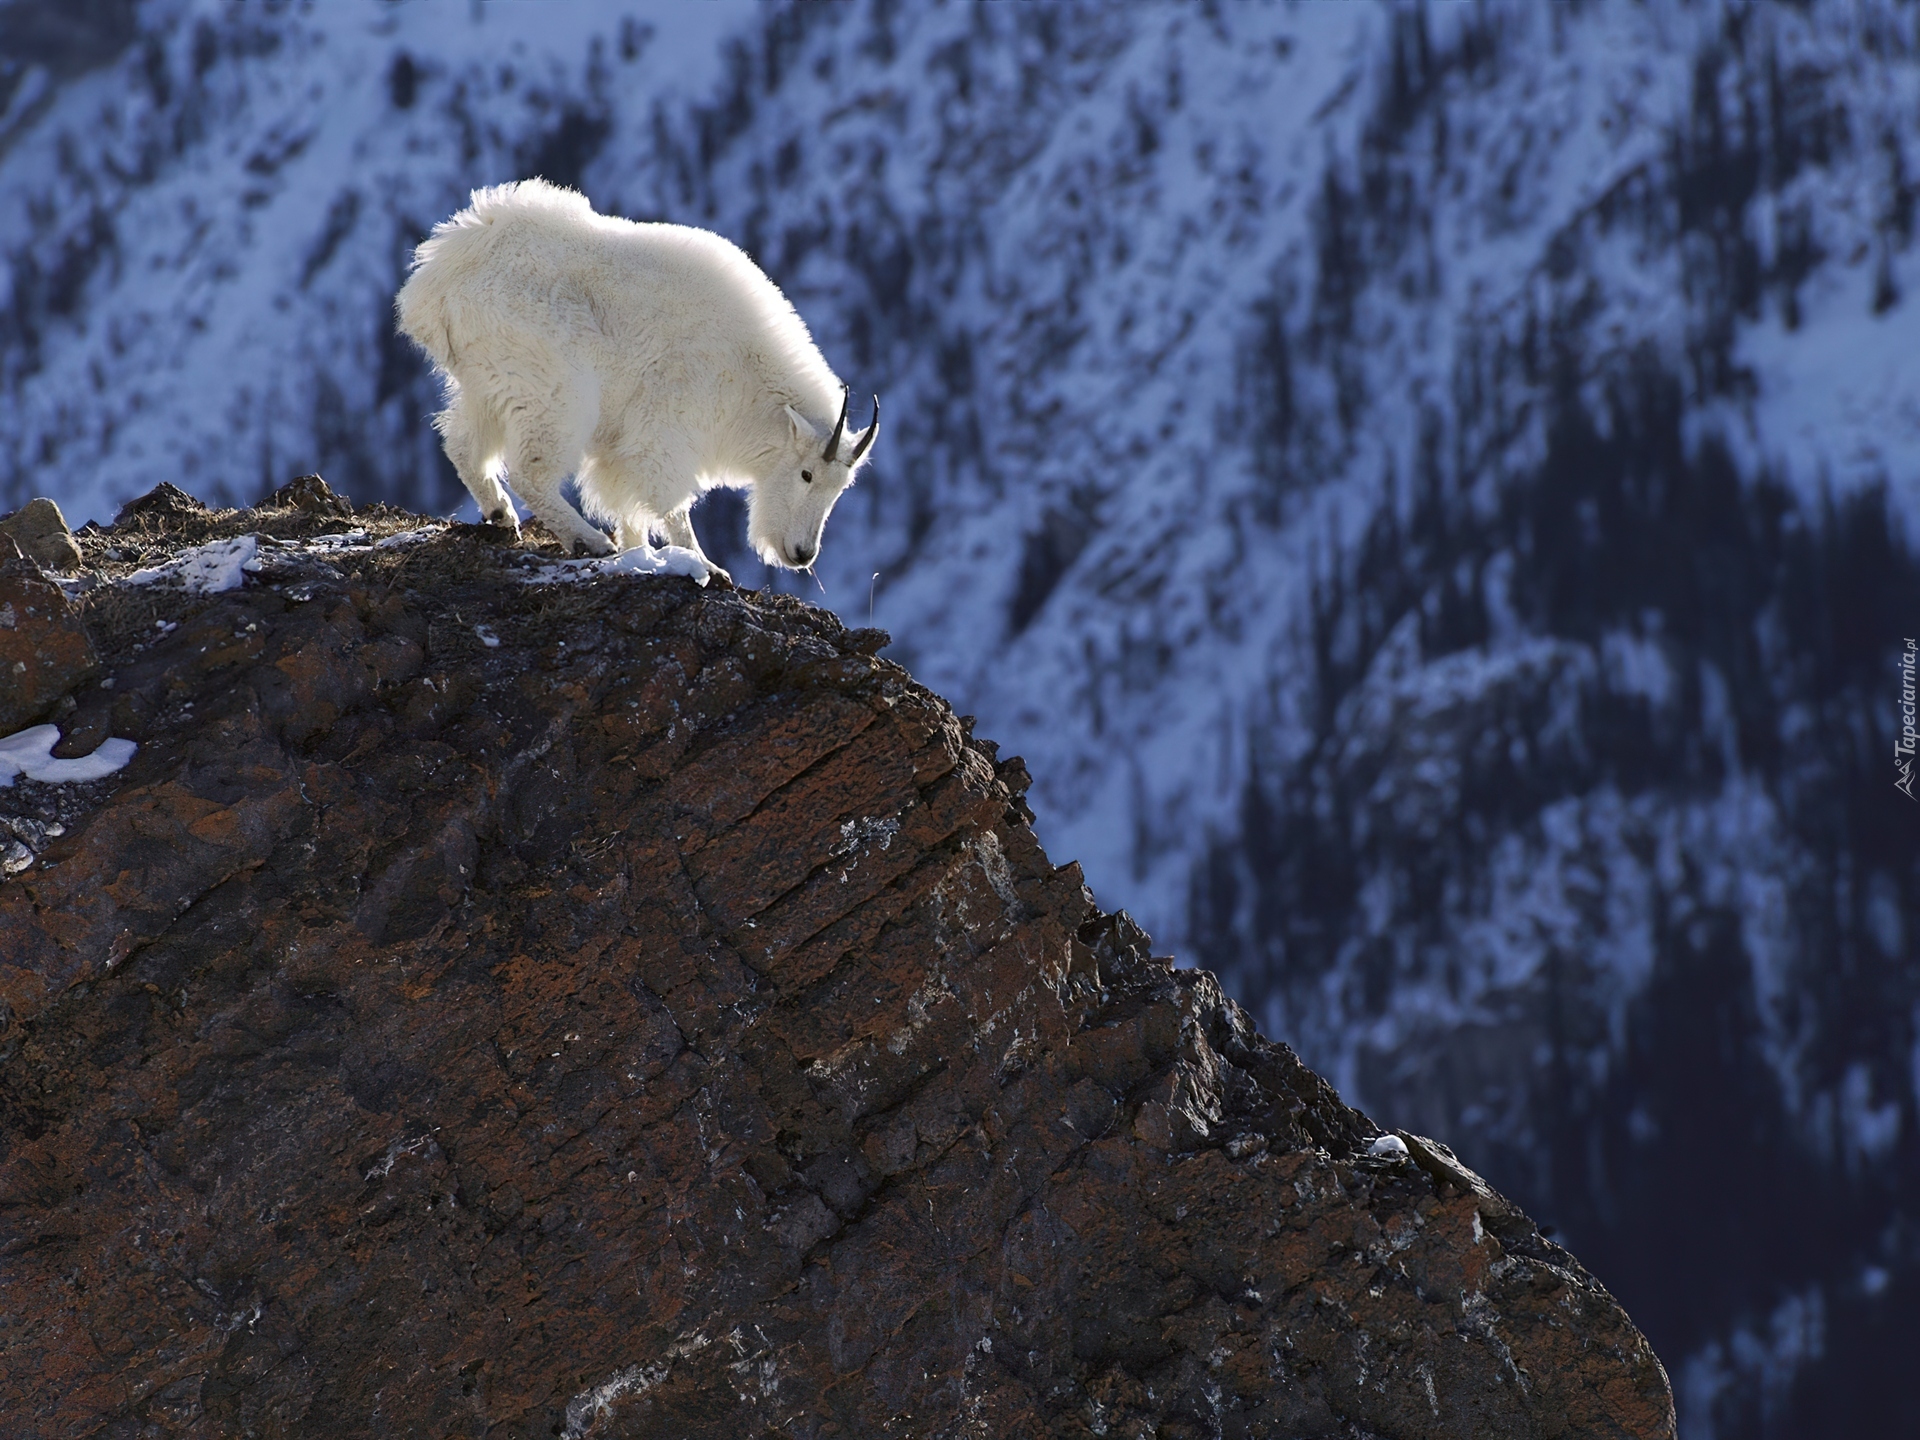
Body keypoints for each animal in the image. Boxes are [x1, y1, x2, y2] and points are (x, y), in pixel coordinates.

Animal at [397, 181, 879, 579]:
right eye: (805, 475)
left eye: (840, 488)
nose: (801, 554)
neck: (747, 374)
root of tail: (437, 281)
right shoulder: (666, 428)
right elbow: (670, 501)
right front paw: (704, 564)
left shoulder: (621, 448)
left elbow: (628, 507)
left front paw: (638, 552)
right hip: (552, 389)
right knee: (529, 470)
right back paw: (586, 539)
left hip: (490, 382)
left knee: (463, 445)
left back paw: (501, 514)